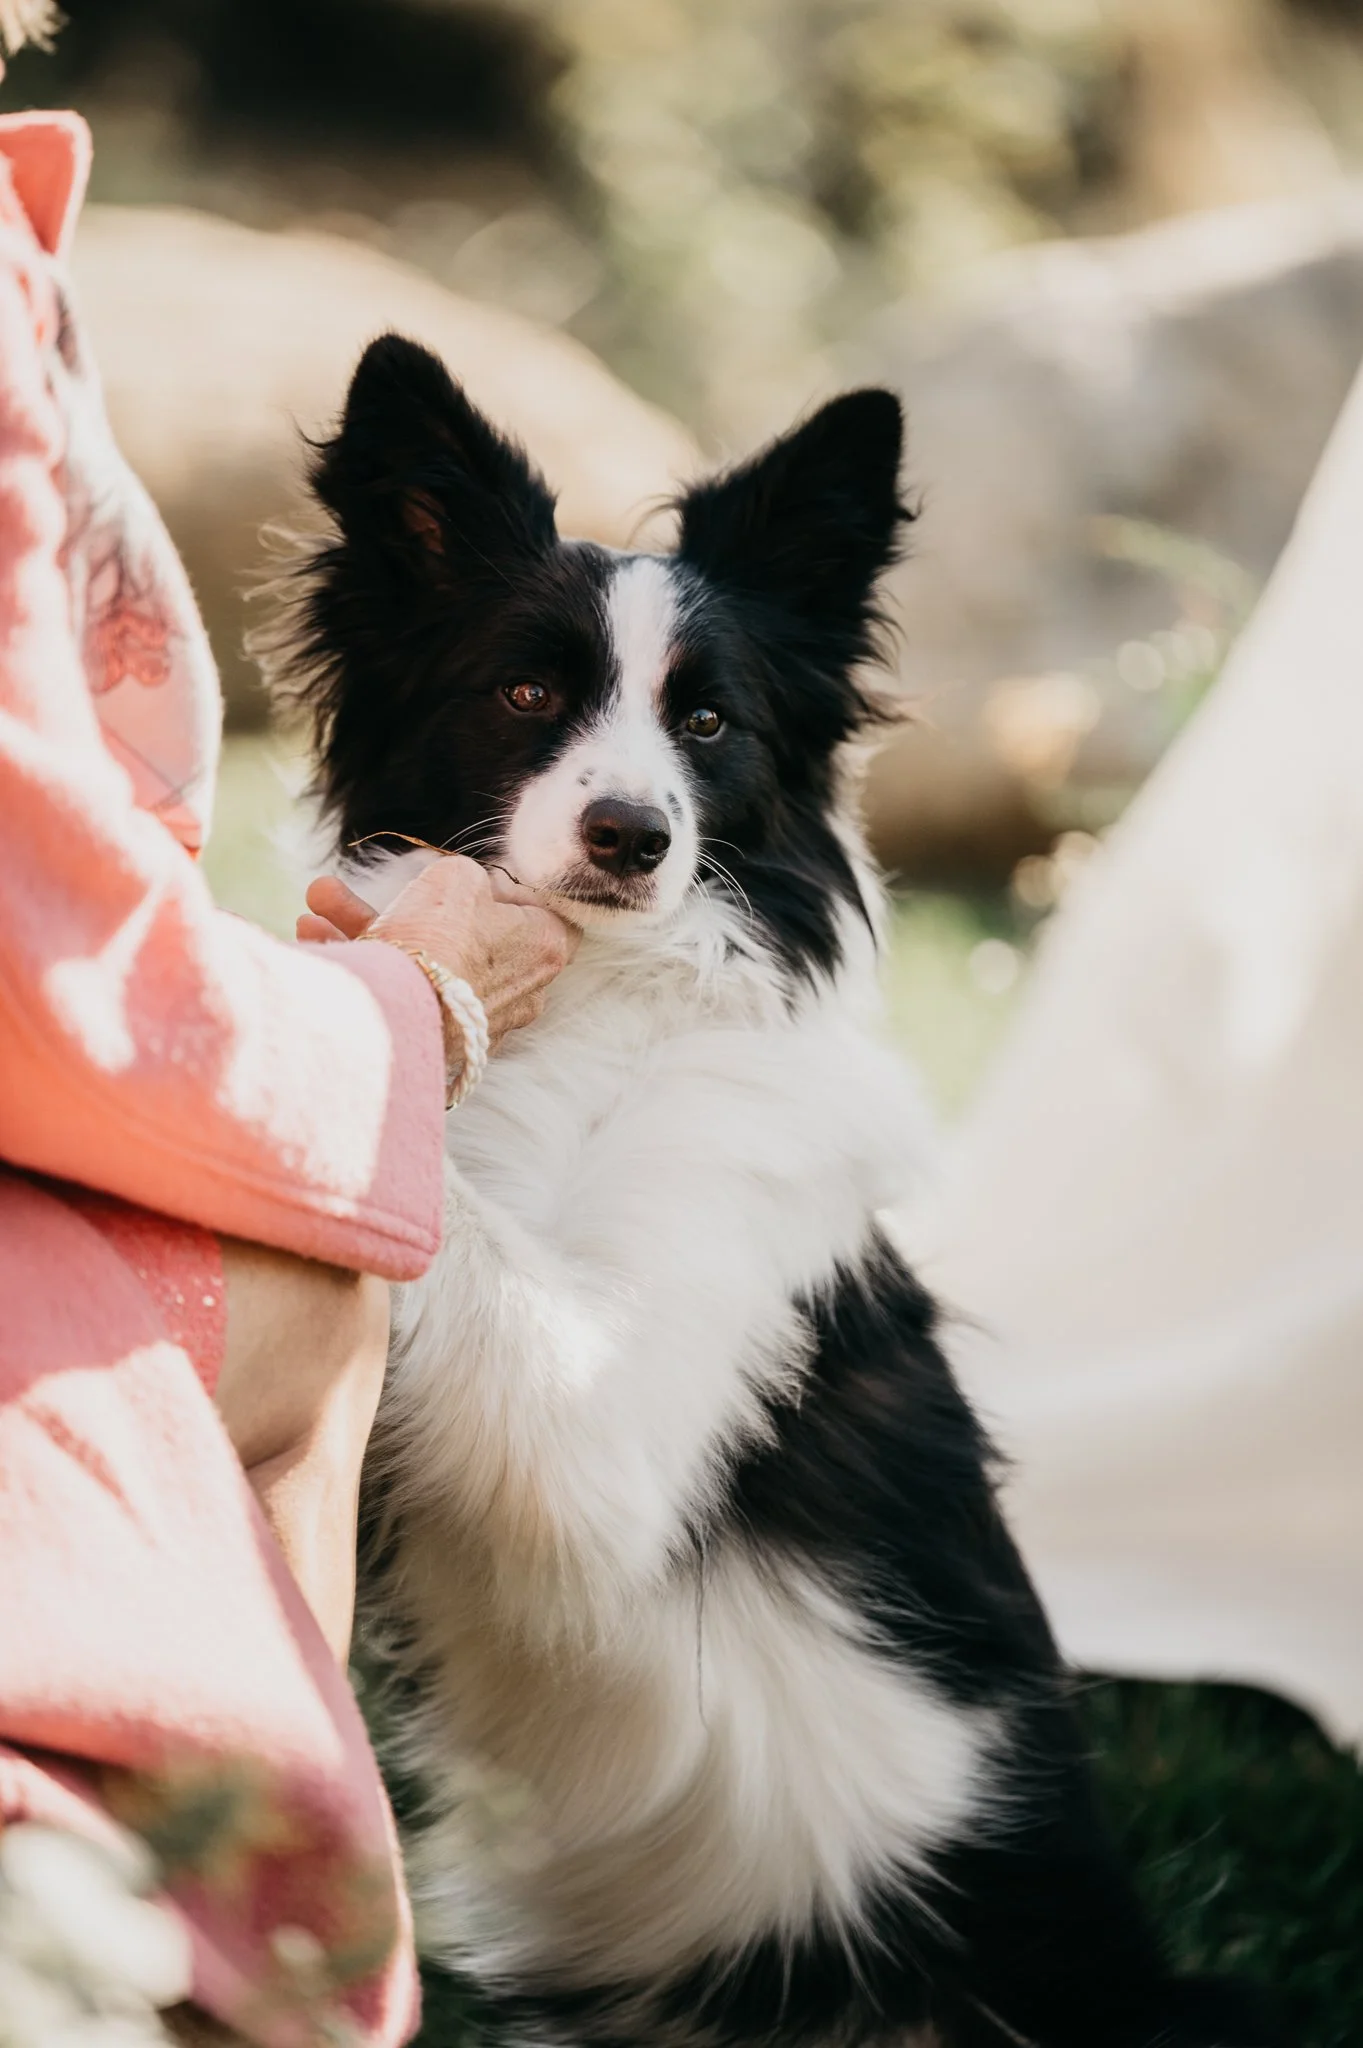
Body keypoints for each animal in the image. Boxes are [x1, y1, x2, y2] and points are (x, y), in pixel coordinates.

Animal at [276, 339, 1277, 2048]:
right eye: (524, 692)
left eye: (707, 720)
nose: (631, 835)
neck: (592, 1002)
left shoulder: (602, 1438)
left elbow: (450, 1210)